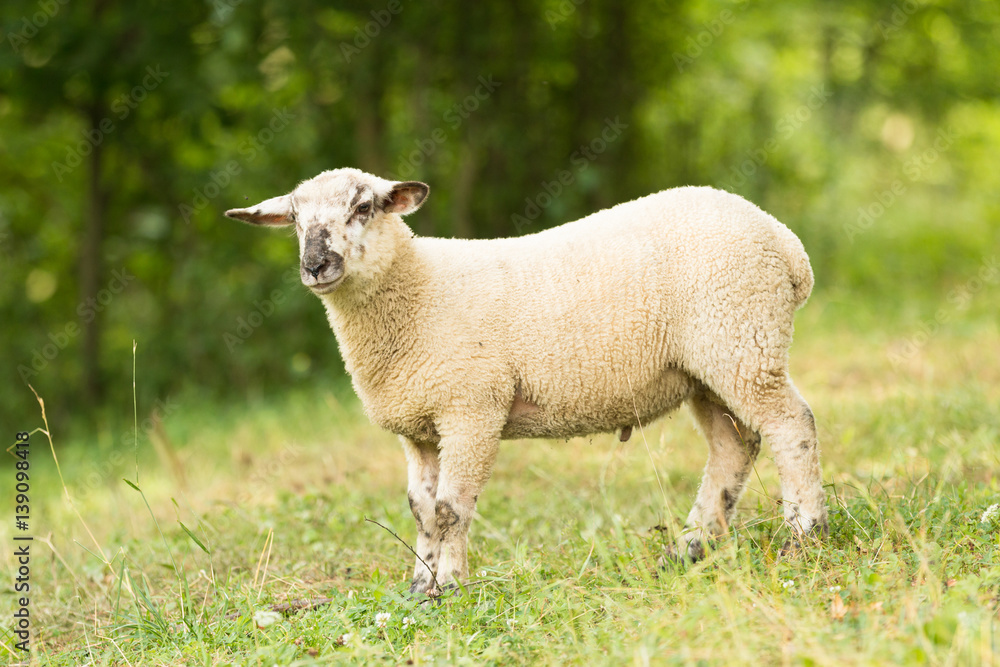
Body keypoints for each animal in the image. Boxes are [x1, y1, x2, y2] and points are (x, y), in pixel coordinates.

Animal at [226, 167, 827, 595]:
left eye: (363, 207)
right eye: (295, 220)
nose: (315, 265)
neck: (417, 292)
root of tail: (787, 246)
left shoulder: (470, 409)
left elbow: (449, 509)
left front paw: (450, 585)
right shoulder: (418, 425)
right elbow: (421, 508)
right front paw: (420, 585)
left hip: (742, 339)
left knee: (791, 425)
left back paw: (804, 534)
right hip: (707, 367)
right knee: (734, 445)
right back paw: (692, 548)